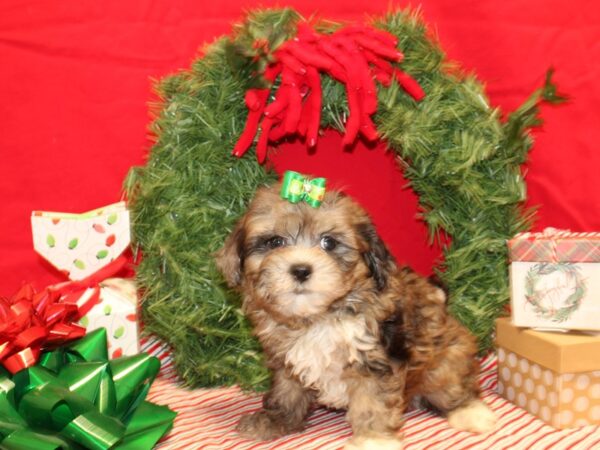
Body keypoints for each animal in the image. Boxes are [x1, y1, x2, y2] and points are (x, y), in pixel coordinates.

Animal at [216, 183, 496, 450]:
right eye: (274, 242)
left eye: (329, 243)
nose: (301, 270)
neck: (319, 317)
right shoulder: (287, 361)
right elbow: (286, 392)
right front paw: (275, 420)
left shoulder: (374, 361)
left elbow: (373, 402)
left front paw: (373, 440)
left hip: (444, 360)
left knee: (454, 385)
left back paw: (471, 413)